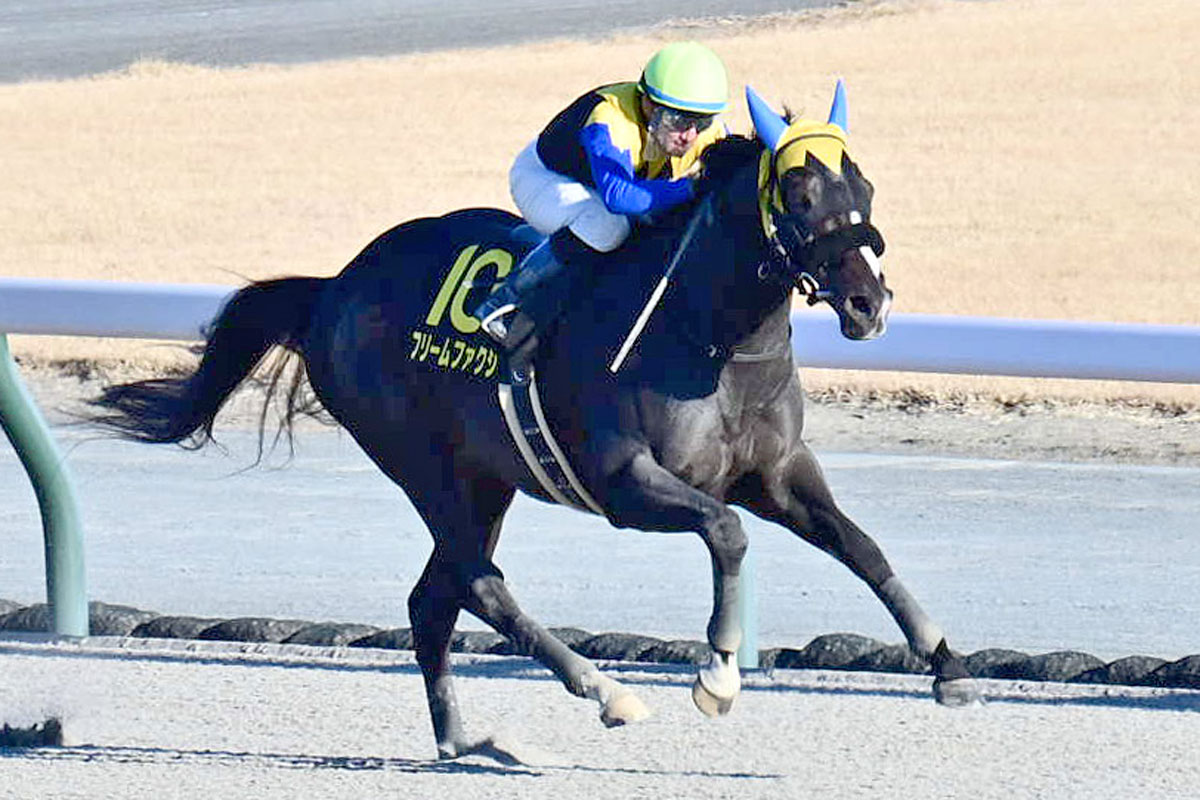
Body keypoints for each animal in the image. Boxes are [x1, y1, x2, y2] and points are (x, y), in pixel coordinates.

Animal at [89, 87, 981, 759]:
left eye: (865, 190)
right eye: (798, 196)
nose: (868, 303)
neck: (713, 337)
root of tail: (333, 289)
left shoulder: (779, 474)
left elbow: (862, 548)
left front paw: (946, 664)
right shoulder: (627, 485)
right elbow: (726, 534)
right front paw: (719, 674)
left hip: (484, 479)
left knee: (435, 598)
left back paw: (466, 741)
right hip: (426, 465)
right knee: (477, 584)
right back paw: (605, 690)